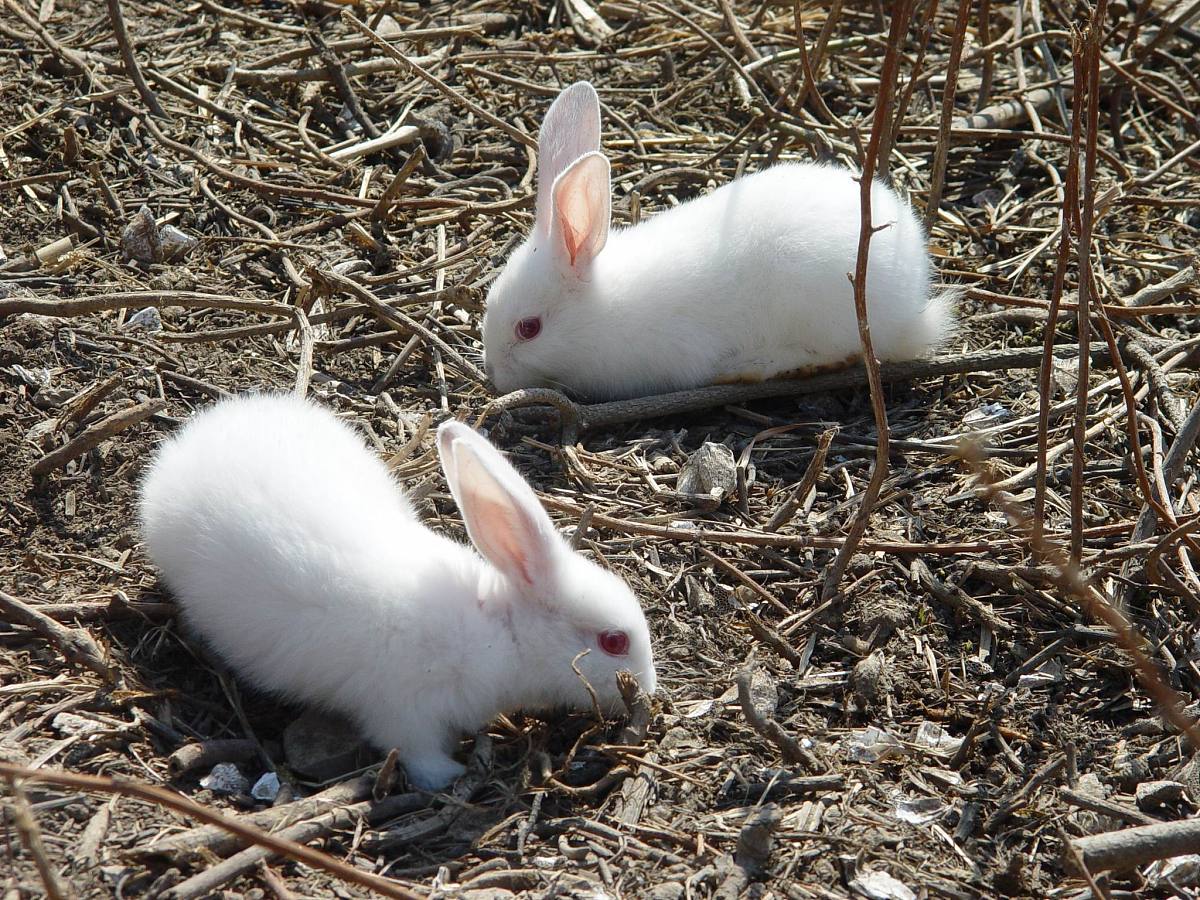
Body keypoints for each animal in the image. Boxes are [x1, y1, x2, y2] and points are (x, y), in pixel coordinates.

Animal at [139, 398, 657, 792]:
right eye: (614, 641)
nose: (648, 692)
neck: (500, 628)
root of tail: (183, 447)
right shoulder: (405, 709)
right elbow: (416, 751)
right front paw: (450, 774)